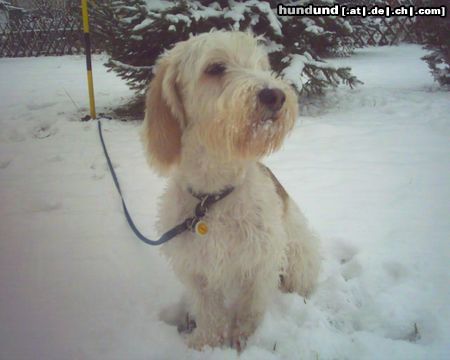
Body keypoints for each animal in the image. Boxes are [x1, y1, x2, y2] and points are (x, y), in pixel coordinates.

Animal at [141, 32, 320, 350]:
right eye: (214, 68)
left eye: (261, 66)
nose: (275, 95)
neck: (212, 196)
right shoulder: (196, 268)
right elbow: (208, 309)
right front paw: (206, 342)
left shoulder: (260, 262)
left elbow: (250, 308)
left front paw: (244, 342)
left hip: (298, 255)